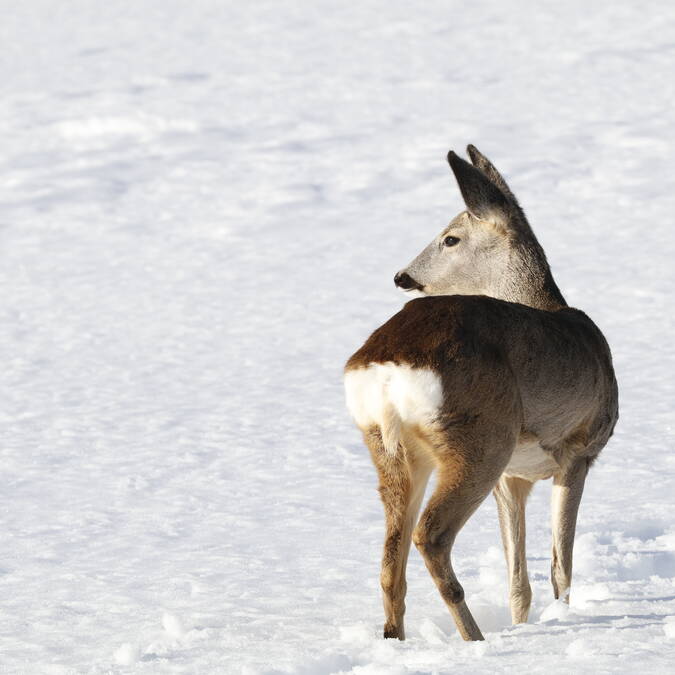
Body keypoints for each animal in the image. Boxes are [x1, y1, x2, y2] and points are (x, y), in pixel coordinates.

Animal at [346, 147, 620, 644]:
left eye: (450, 238)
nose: (402, 276)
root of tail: (385, 367)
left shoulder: (513, 475)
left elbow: (518, 580)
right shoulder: (579, 449)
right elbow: (560, 567)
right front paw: (563, 622)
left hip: (390, 446)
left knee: (391, 558)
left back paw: (396, 639)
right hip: (482, 438)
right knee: (431, 535)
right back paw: (475, 638)